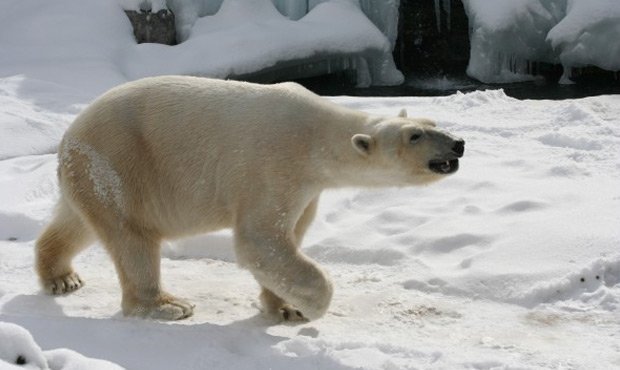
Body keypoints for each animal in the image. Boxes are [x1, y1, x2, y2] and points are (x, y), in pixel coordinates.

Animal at [34, 76, 460, 322]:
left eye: (432, 124)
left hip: (91, 173)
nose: (458, 143)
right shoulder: (273, 164)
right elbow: (260, 240)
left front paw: (285, 306)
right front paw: (311, 305)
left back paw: (62, 277)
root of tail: (69, 135)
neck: (315, 135)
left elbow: (289, 238)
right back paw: (167, 305)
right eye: (414, 136)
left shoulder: (307, 186)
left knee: (77, 222)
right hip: (120, 162)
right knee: (131, 237)